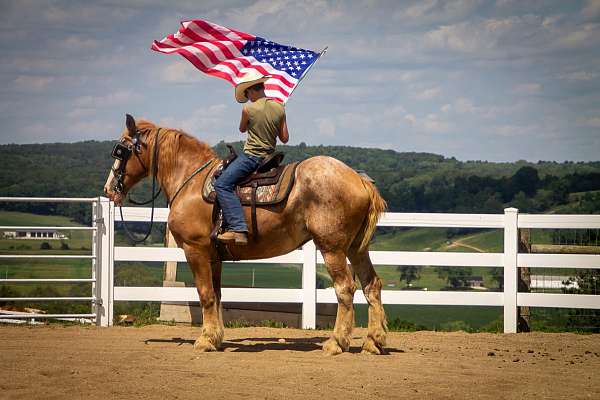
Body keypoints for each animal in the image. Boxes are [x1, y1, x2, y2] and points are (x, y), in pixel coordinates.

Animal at [103, 115, 390, 356]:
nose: (108, 189)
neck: (191, 182)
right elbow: (217, 295)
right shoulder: (214, 257)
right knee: (371, 285)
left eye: (121, 149)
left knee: (345, 288)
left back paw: (336, 342)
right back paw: (373, 341)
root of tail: (359, 179)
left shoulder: (195, 250)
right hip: (356, 248)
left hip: (332, 248)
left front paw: (205, 340)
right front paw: (215, 337)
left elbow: (205, 294)